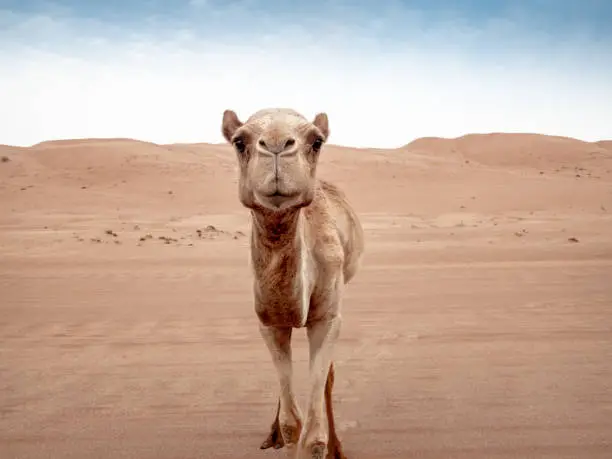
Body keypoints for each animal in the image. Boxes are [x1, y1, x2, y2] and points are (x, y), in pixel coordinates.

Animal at [220, 108, 364, 459]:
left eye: (316, 141)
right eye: (239, 142)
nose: (275, 145)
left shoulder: (328, 318)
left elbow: (313, 436)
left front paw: (330, 447)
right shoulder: (269, 321)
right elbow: (291, 424)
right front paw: (279, 433)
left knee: (327, 377)